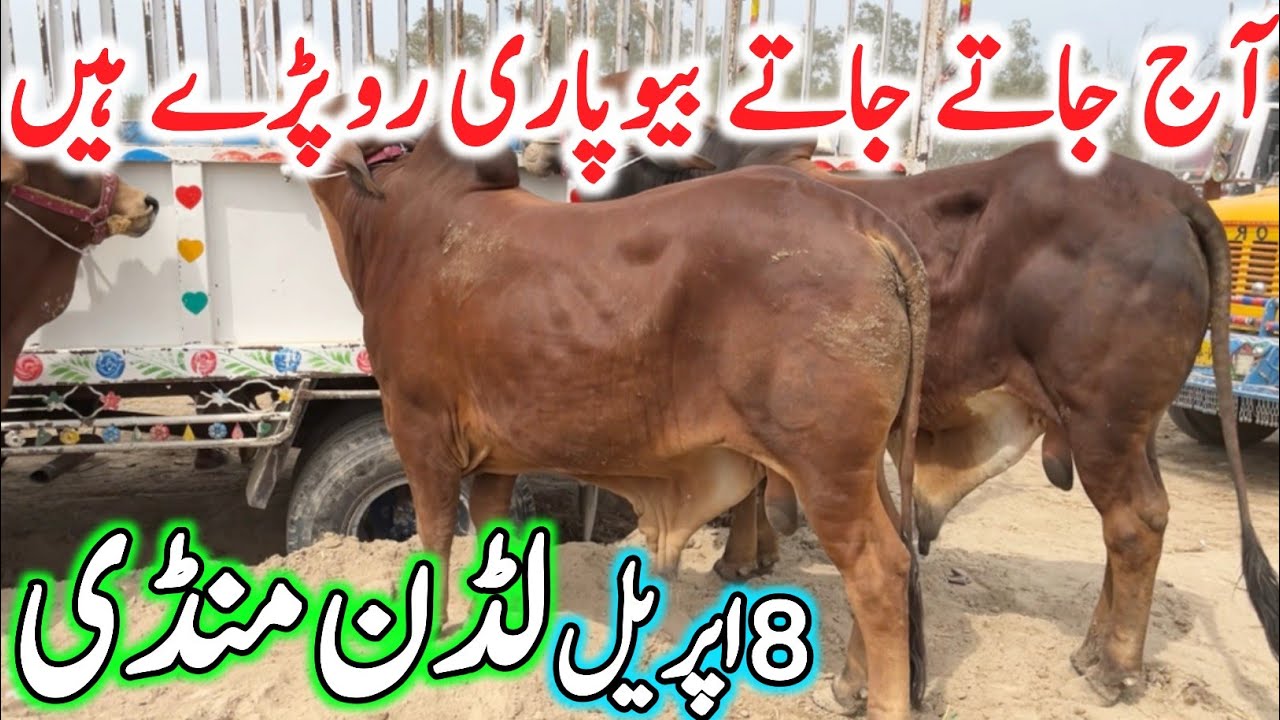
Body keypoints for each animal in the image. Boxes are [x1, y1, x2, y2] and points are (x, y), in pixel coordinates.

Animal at [302, 125, 931, 717]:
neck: (385, 216)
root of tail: (861, 219)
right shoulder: (496, 452)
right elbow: (489, 531)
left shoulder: (420, 428)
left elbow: (433, 536)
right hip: (860, 465)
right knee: (893, 557)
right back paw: (849, 684)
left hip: (825, 469)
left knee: (879, 570)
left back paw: (881, 701)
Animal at [521, 123, 1280, 703]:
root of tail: (1170, 191)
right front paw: (757, 554)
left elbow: (753, 493)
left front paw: (740, 560)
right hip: (1129, 427)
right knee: (1132, 522)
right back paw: (1093, 648)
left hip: (1101, 419)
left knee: (1133, 523)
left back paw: (1115, 669)